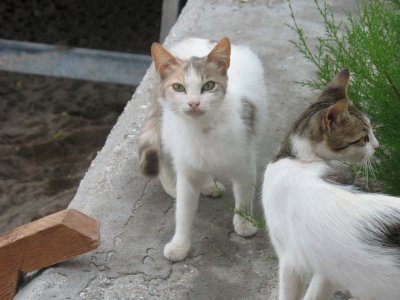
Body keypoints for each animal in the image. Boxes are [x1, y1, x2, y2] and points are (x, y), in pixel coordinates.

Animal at [139, 37, 268, 262]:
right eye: (178, 87)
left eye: (208, 86)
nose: (193, 103)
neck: (203, 129)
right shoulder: (187, 171)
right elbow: (183, 212)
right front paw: (180, 245)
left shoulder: (245, 163)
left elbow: (244, 197)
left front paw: (244, 223)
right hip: (165, 126)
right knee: (162, 153)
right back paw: (173, 185)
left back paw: (208, 184)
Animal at [262, 69, 400, 298]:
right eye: (364, 138)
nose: (377, 146)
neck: (297, 158)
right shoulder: (327, 268)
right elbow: (315, 293)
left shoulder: (290, 261)